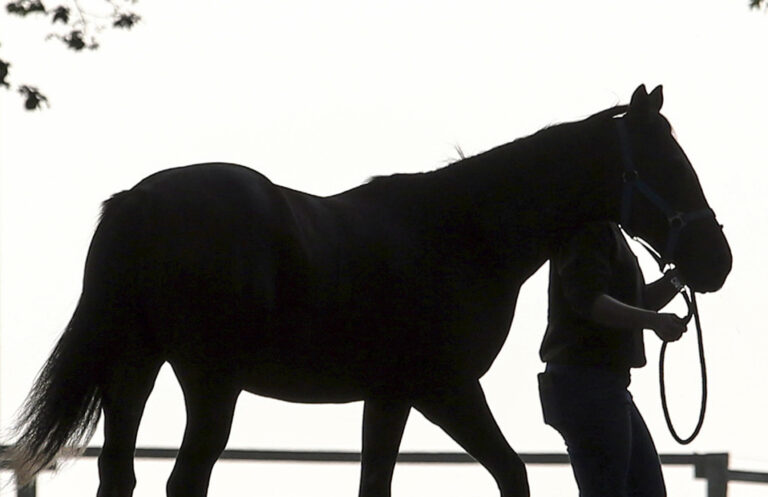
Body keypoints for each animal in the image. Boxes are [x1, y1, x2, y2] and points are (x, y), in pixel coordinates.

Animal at [8, 85, 731, 497]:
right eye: (668, 162)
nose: (716, 262)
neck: (464, 231)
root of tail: (139, 201)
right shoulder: (443, 389)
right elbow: (512, 474)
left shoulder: (388, 396)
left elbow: (378, 483)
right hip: (209, 382)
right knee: (185, 479)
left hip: (133, 367)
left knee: (119, 474)